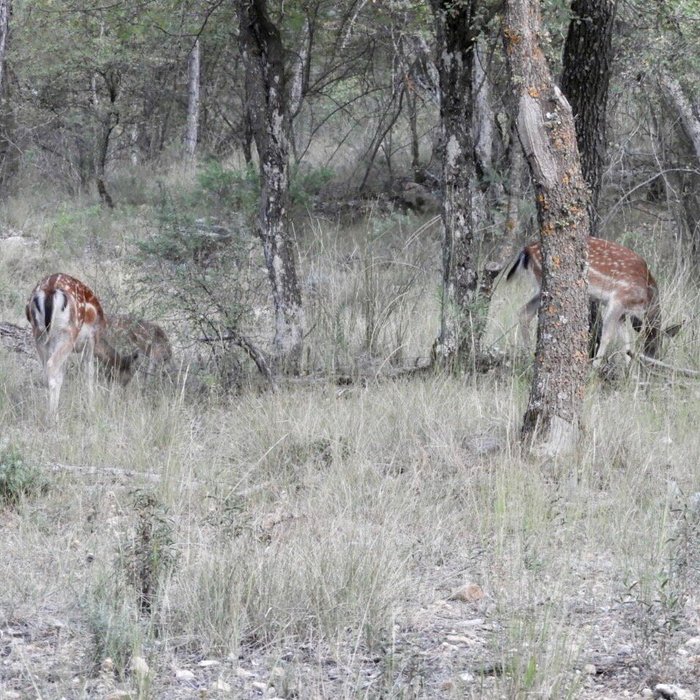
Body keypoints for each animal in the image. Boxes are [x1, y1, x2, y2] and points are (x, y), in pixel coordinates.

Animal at [25, 274, 137, 412]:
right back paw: (53, 415)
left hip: (39, 334)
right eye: (128, 376)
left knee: (47, 368)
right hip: (68, 333)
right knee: (52, 365)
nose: (123, 394)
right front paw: (92, 407)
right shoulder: (91, 340)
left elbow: (62, 375)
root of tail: (50, 291)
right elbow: (89, 372)